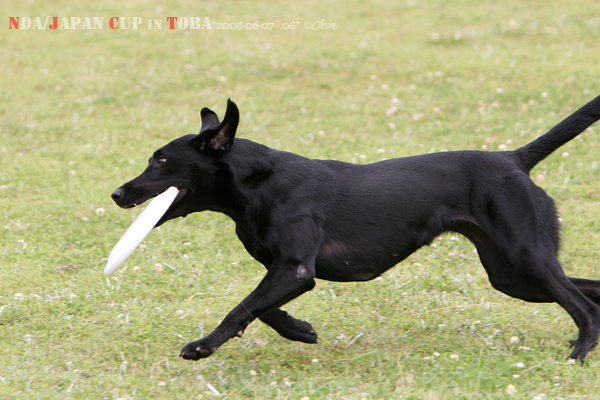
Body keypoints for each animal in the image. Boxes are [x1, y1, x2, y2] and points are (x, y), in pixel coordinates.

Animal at [111, 97, 600, 362]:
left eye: (161, 160)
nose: (117, 193)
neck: (258, 185)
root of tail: (513, 159)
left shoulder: (294, 269)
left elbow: (241, 308)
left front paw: (203, 346)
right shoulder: (285, 270)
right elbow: (261, 309)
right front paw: (300, 329)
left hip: (527, 260)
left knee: (582, 305)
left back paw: (579, 352)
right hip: (511, 276)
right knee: (590, 294)